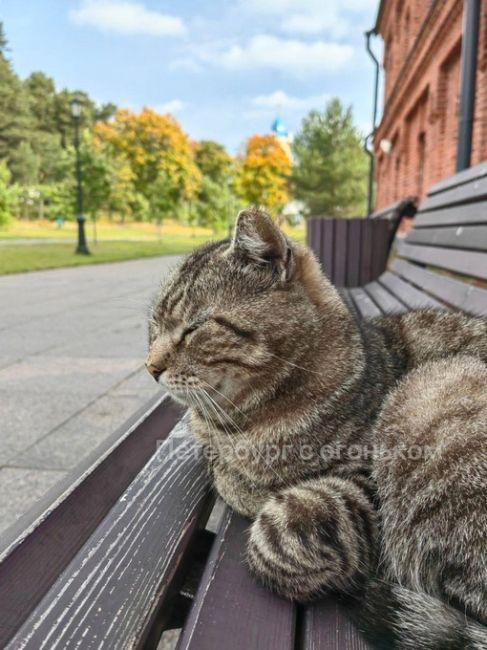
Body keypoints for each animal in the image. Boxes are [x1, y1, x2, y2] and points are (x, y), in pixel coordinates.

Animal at [146, 209, 487, 648]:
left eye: (196, 327)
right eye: (154, 328)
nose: (150, 367)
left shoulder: (364, 491)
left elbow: (275, 529)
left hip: (429, 393)